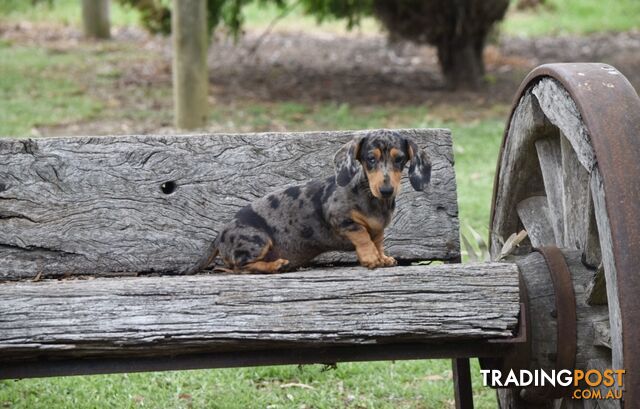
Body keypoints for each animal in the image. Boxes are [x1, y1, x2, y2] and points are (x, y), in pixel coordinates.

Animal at [199, 129, 430, 272]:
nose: (386, 190)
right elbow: (362, 234)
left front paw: (382, 257)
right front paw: (371, 258)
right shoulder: (340, 218)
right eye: (370, 159)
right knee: (239, 267)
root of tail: (219, 235)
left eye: (399, 159)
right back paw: (275, 266)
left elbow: (378, 241)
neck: (371, 198)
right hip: (258, 240)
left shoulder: (379, 229)